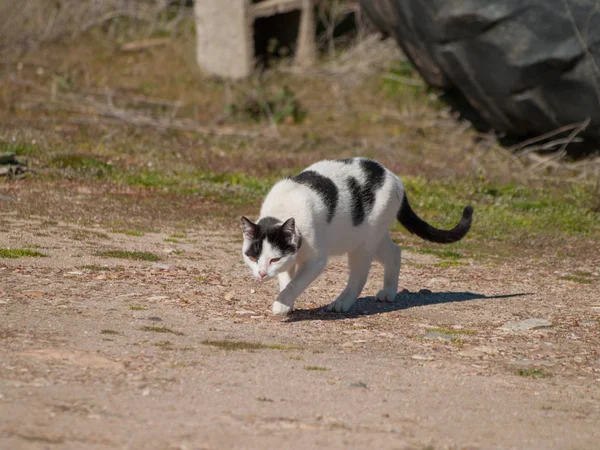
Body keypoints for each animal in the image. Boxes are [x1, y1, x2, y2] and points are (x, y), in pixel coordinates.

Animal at [240, 158, 474, 316]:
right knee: (395, 252)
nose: (261, 274)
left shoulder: (316, 260)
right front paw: (287, 303)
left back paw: (342, 302)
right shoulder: (292, 255)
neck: (284, 209)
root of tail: (395, 177)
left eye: (274, 259)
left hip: (363, 245)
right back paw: (389, 291)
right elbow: (287, 279)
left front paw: (281, 303)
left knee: (359, 277)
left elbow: (295, 283)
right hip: (368, 237)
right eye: (252, 258)